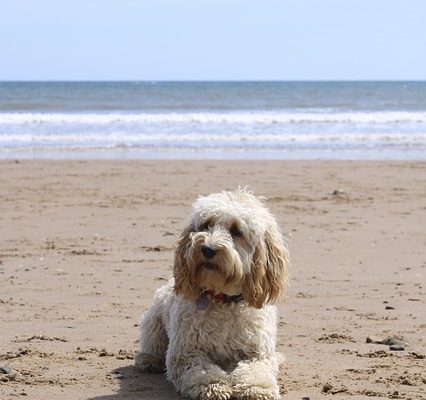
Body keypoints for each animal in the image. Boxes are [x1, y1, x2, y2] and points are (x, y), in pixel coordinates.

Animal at [136, 190, 290, 400]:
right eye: (206, 225)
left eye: (236, 231)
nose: (208, 249)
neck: (223, 299)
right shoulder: (186, 352)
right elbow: (202, 371)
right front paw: (213, 385)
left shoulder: (257, 353)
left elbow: (257, 370)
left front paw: (257, 388)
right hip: (153, 321)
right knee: (152, 344)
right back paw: (148, 360)